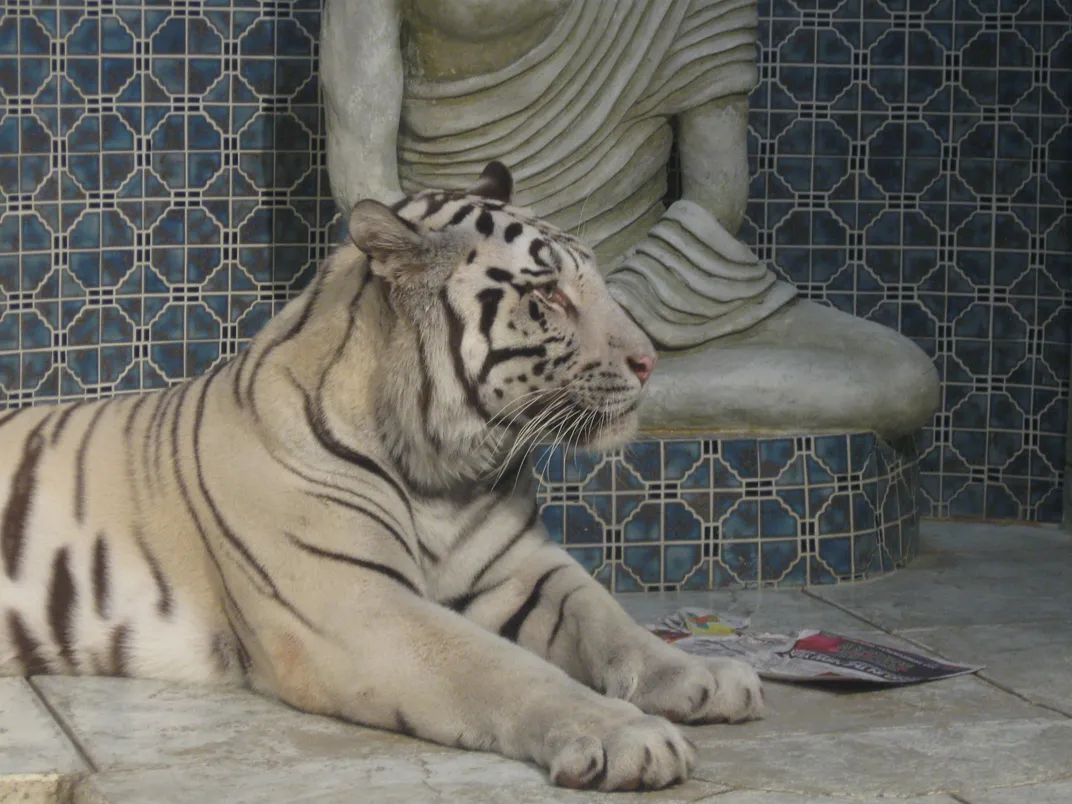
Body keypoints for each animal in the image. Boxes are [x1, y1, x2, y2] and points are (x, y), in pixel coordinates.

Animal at [0, 161, 763, 792]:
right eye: (547, 296)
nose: (649, 361)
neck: (442, 476)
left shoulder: (522, 570)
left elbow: (609, 621)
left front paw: (701, 674)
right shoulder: (354, 606)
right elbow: (504, 669)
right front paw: (625, 734)